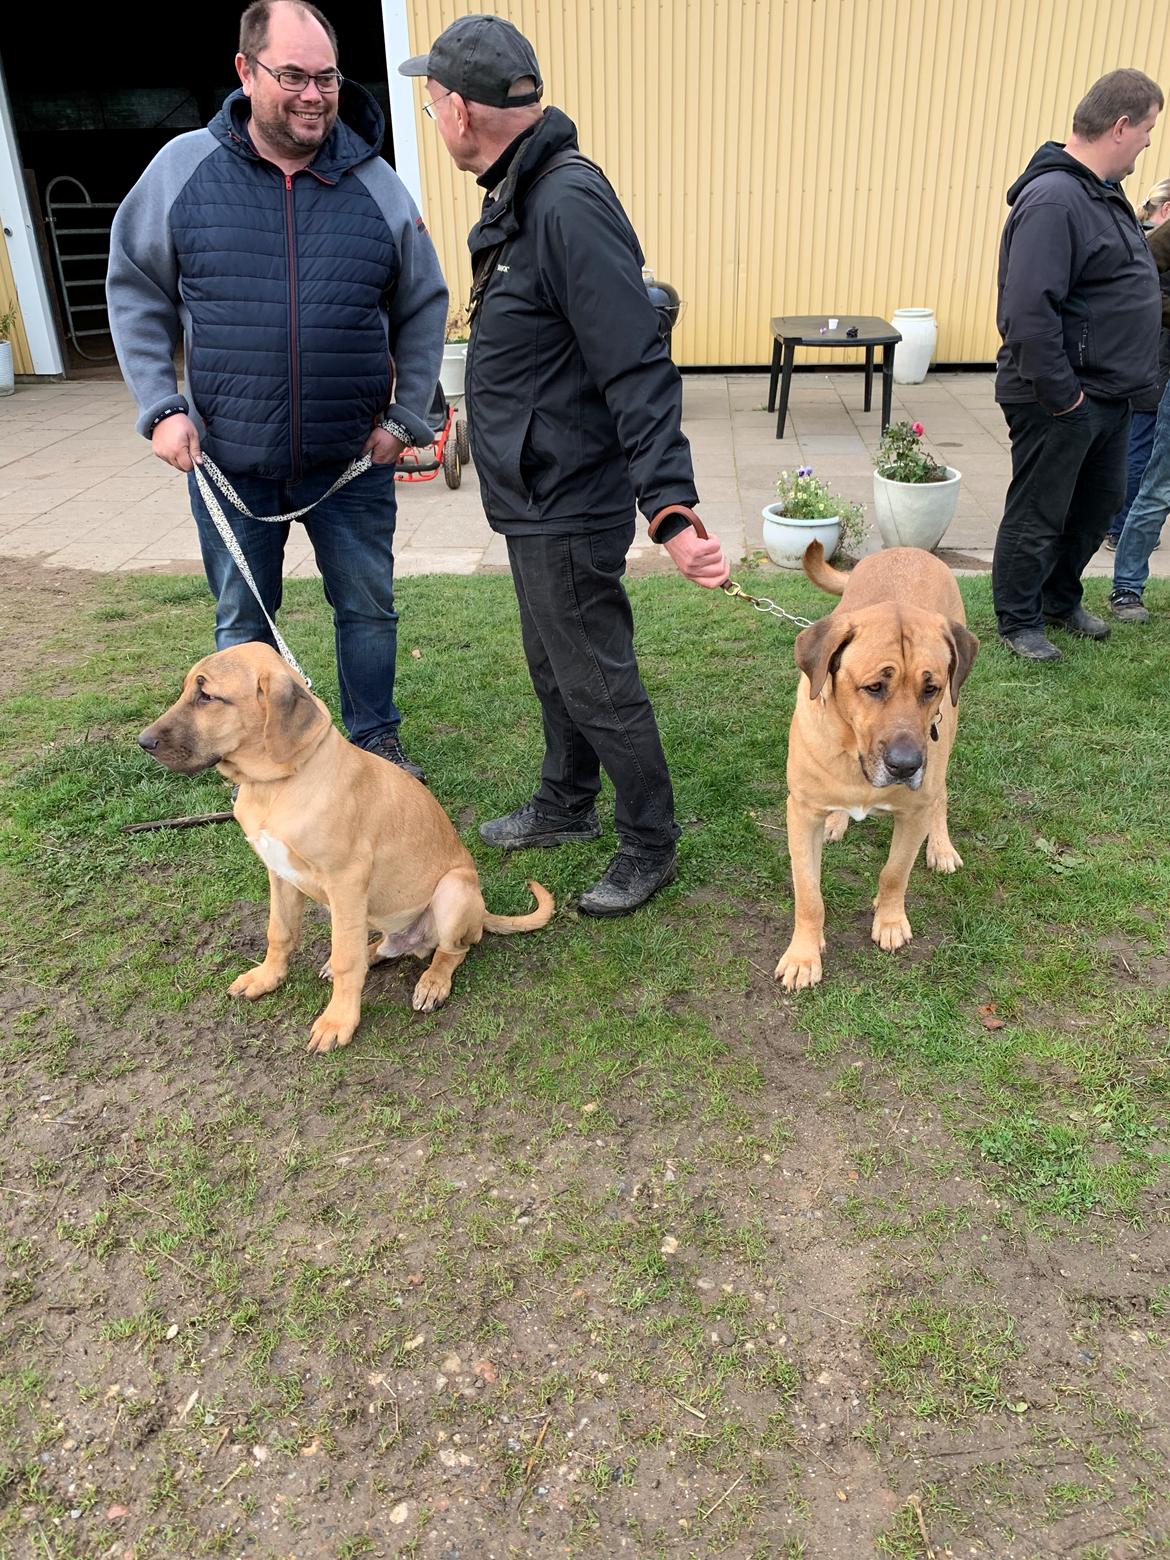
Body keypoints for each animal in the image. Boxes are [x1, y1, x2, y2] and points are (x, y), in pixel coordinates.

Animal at [134, 639, 555, 1054]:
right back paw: (375, 952)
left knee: (454, 950)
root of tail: (482, 912)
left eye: (207, 695)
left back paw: (433, 983)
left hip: (453, 890)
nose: (143, 742)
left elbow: (345, 960)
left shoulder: (346, 881)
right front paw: (266, 978)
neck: (275, 785)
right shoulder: (279, 874)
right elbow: (279, 932)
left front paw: (338, 1022)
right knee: (387, 945)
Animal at [780, 542, 979, 992]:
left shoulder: (914, 810)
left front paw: (889, 920)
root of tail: (909, 548)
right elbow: (809, 894)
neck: (857, 757)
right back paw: (838, 820)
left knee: (941, 793)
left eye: (931, 687)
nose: (906, 766)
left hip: (948, 731)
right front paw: (803, 954)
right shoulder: (801, 812)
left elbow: (894, 872)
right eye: (873, 687)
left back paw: (941, 846)